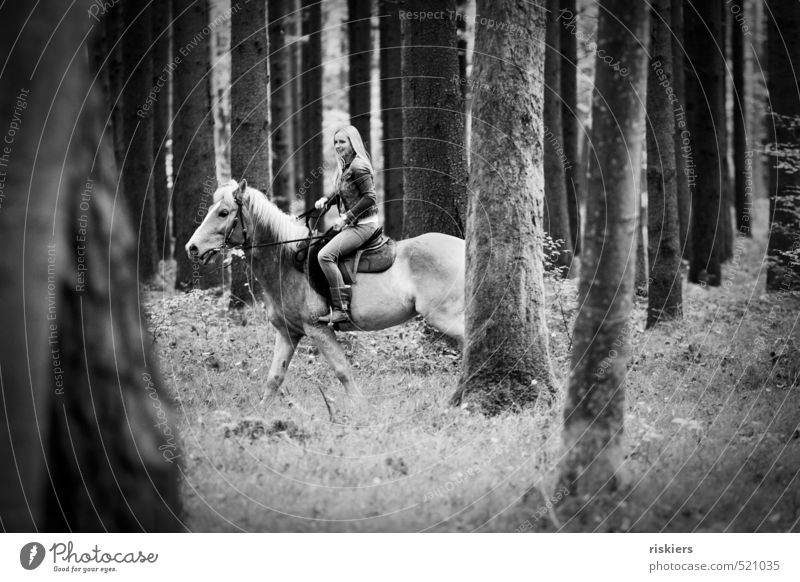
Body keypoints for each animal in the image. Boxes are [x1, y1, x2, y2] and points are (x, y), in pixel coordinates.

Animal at [185, 180, 466, 412]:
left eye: (223, 212)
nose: (192, 248)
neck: (287, 263)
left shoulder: (318, 329)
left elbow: (342, 371)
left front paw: (362, 409)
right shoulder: (288, 333)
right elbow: (274, 377)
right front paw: (260, 415)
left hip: (445, 316)